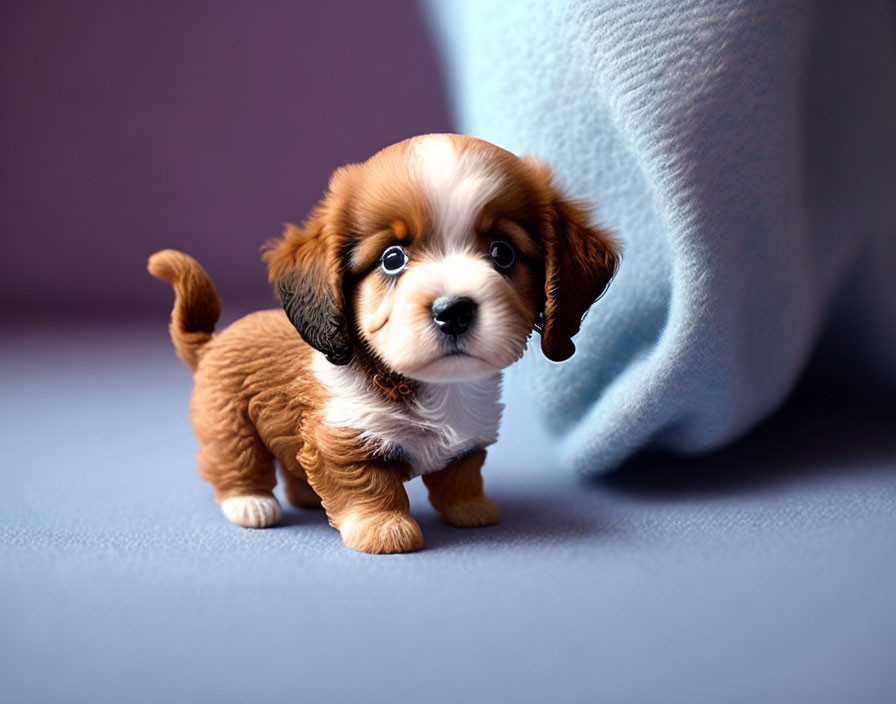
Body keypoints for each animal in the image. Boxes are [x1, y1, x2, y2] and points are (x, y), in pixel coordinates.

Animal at [150, 131, 620, 552]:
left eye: (503, 253)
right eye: (392, 259)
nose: (453, 311)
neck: (432, 390)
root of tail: (213, 341)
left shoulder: (468, 439)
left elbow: (461, 474)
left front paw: (471, 508)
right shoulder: (344, 438)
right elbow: (368, 485)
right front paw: (384, 530)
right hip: (228, 422)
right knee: (235, 459)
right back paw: (249, 503)